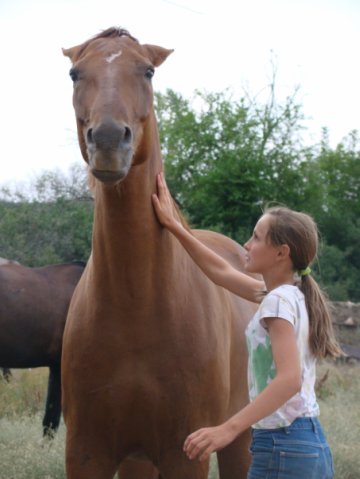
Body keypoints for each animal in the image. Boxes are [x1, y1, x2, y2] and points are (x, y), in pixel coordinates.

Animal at [62, 28, 258, 478]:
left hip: (238, 436)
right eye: (75, 73)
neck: (137, 308)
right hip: (138, 459)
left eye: (148, 71)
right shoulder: (86, 451)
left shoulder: (186, 452)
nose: (109, 140)